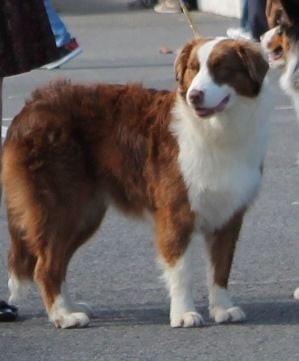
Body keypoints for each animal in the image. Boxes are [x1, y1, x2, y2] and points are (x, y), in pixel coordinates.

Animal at [2, 36, 270, 326]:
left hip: (86, 213)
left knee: (57, 261)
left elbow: (221, 268)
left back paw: (72, 307)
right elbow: (182, 271)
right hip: (61, 205)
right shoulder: (176, 212)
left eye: (221, 68)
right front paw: (184, 313)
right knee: (45, 265)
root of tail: (28, 109)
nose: (194, 96)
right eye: (193, 68)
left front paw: (222, 308)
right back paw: (63, 315)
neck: (217, 130)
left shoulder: (229, 212)